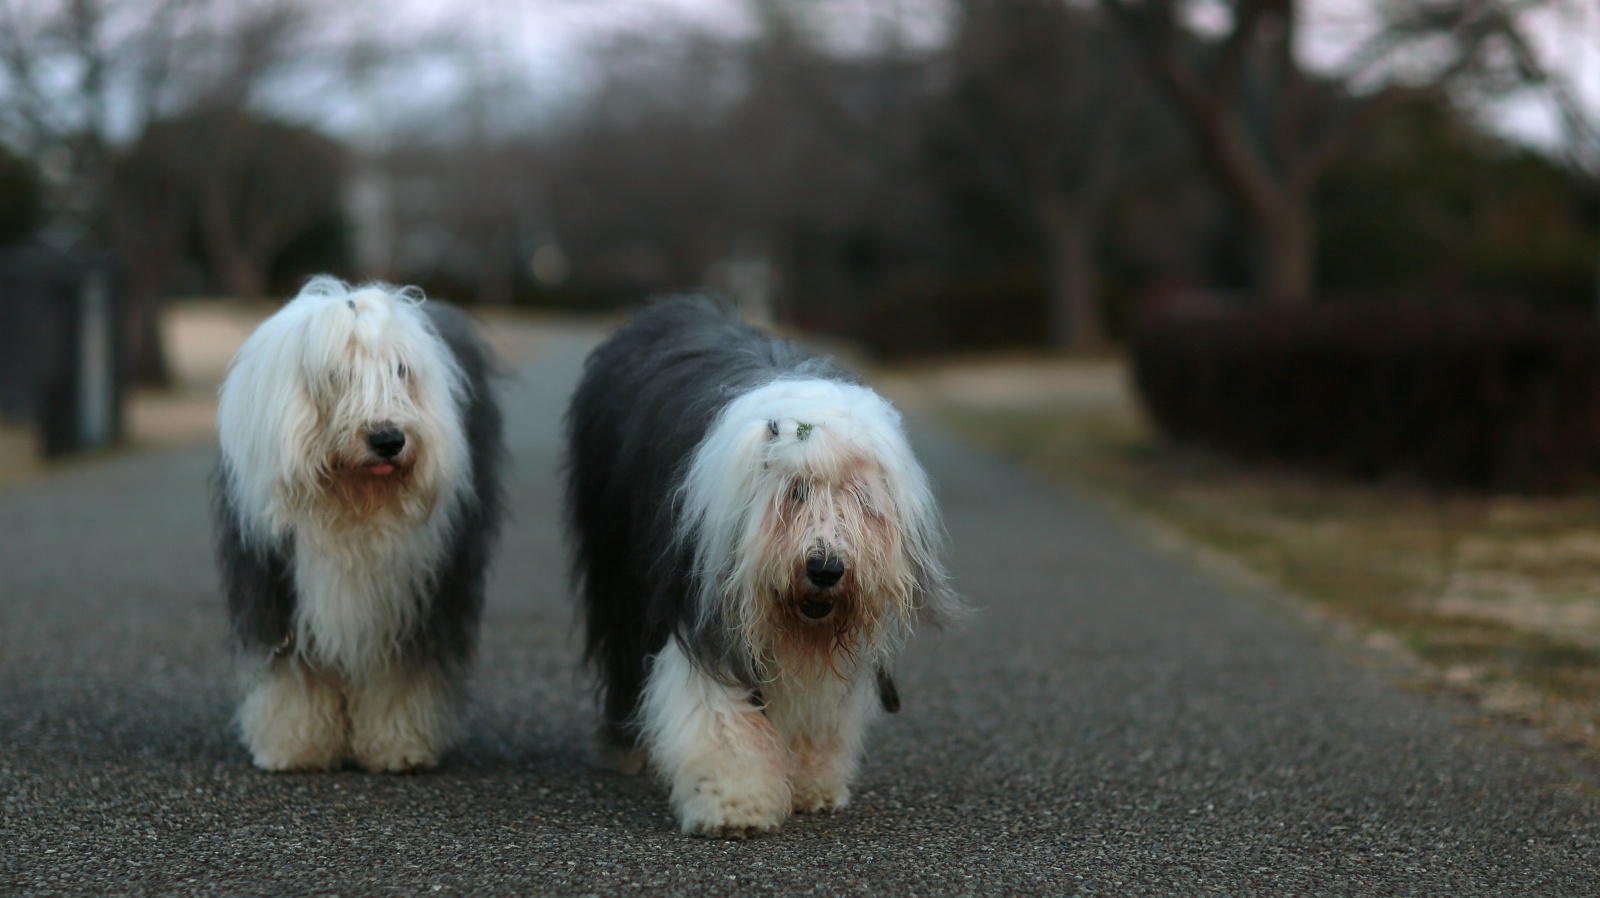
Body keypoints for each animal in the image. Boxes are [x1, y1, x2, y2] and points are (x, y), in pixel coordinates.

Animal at [213, 277, 503, 772]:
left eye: (401, 370)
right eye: (338, 374)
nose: (388, 439)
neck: (352, 506)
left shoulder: (416, 599)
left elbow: (399, 673)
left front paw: (397, 745)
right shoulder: (276, 588)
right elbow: (293, 673)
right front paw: (294, 745)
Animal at [564, 295, 963, 836]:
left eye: (861, 498)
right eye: (795, 492)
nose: (825, 568)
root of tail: (668, 308)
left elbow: (812, 706)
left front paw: (813, 781)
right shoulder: (702, 605)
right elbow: (716, 713)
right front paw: (736, 803)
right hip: (618, 564)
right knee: (624, 647)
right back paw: (625, 748)